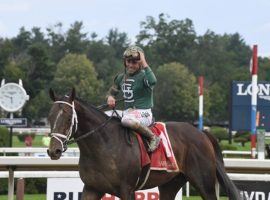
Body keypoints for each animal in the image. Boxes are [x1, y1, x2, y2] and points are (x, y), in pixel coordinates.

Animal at [47, 88, 243, 200]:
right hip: (170, 183)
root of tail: (201, 132)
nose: (53, 151)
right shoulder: (92, 188)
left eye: (67, 118)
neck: (103, 146)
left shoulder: (126, 190)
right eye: (50, 117)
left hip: (204, 182)